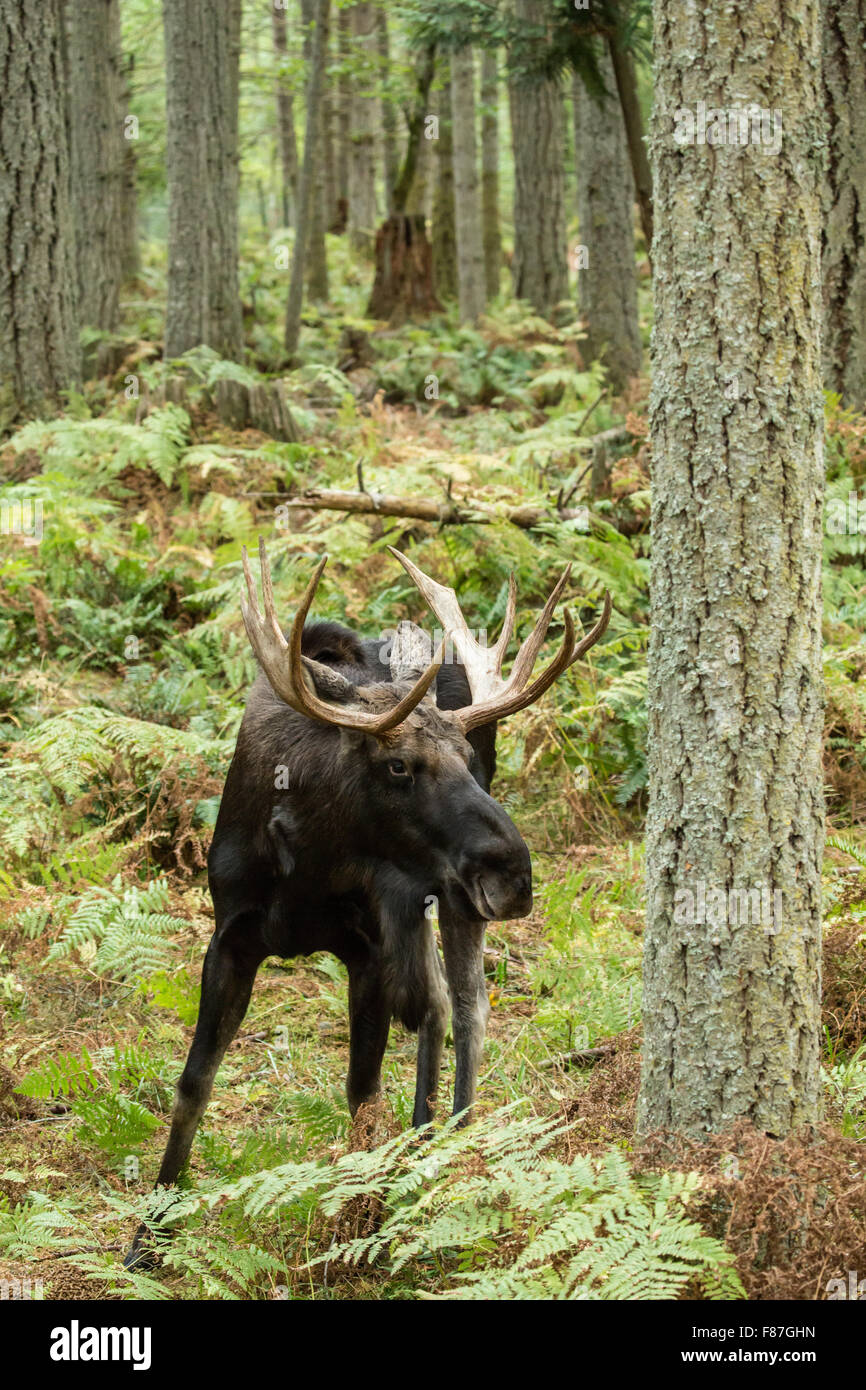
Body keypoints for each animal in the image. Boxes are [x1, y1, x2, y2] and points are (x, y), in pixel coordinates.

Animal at [125, 544, 608, 1273]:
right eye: (399, 765)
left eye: (465, 758)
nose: (515, 873)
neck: (303, 861)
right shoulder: (231, 934)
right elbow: (192, 1083)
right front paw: (147, 1239)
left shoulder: (368, 948)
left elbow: (362, 1094)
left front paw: (364, 1224)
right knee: (435, 1003)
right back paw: (424, 1139)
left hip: (451, 898)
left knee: (466, 1005)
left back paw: (447, 1144)